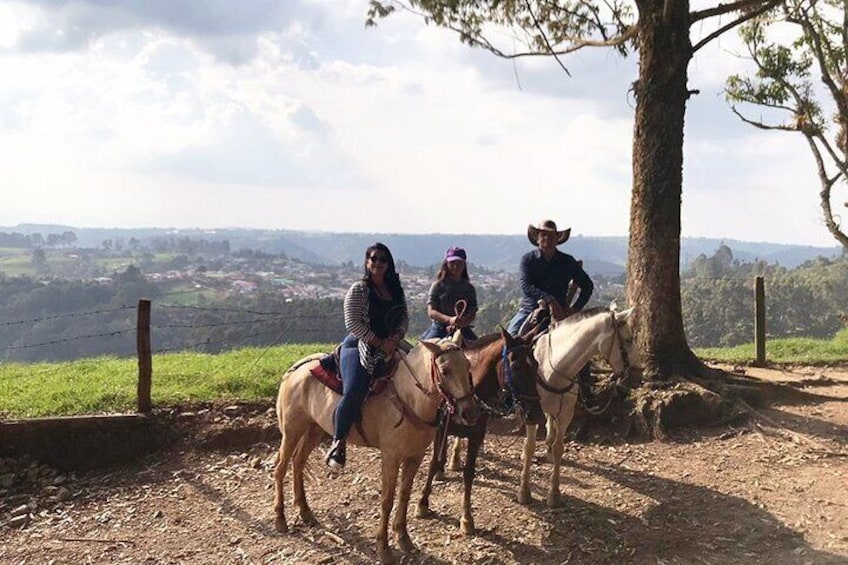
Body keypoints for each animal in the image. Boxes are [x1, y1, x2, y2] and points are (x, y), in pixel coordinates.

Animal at [274, 332, 480, 560]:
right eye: (445, 371)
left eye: (468, 365)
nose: (470, 413)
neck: (407, 398)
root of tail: (294, 370)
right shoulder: (391, 456)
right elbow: (387, 500)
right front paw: (383, 547)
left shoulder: (415, 456)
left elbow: (404, 495)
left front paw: (404, 538)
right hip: (292, 431)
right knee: (281, 468)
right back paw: (280, 518)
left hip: (314, 429)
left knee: (298, 462)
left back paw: (305, 512)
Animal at [416, 326, 544, 532]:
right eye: (516, 367)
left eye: (535, 365)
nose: (537, 415)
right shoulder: (440, 429)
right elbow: (434, 462)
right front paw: (422, 503)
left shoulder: (476, 435)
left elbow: (469, 473)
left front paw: (467, 518)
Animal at [516, 308, 636, 506]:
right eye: (628, 340)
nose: (634, 373)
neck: (551, 367)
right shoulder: (530, 412)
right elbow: (529, 447)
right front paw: (524, 492)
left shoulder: (566, 413)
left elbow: (559, 448)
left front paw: (554, 494)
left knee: (550, 424)